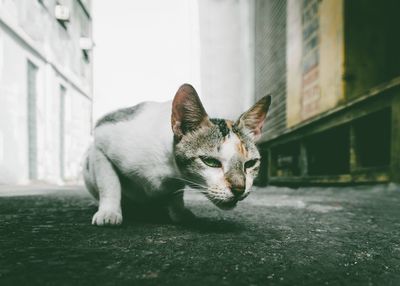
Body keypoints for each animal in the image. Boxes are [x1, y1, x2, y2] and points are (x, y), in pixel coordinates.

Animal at [84, 83, 272, 226]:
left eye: (250, 163)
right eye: (210, 162)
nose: (240, 188)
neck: (168, 170)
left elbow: (176, 194)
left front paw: (179, 212)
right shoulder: (100, 140)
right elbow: (110, 184)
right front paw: (109, 212)